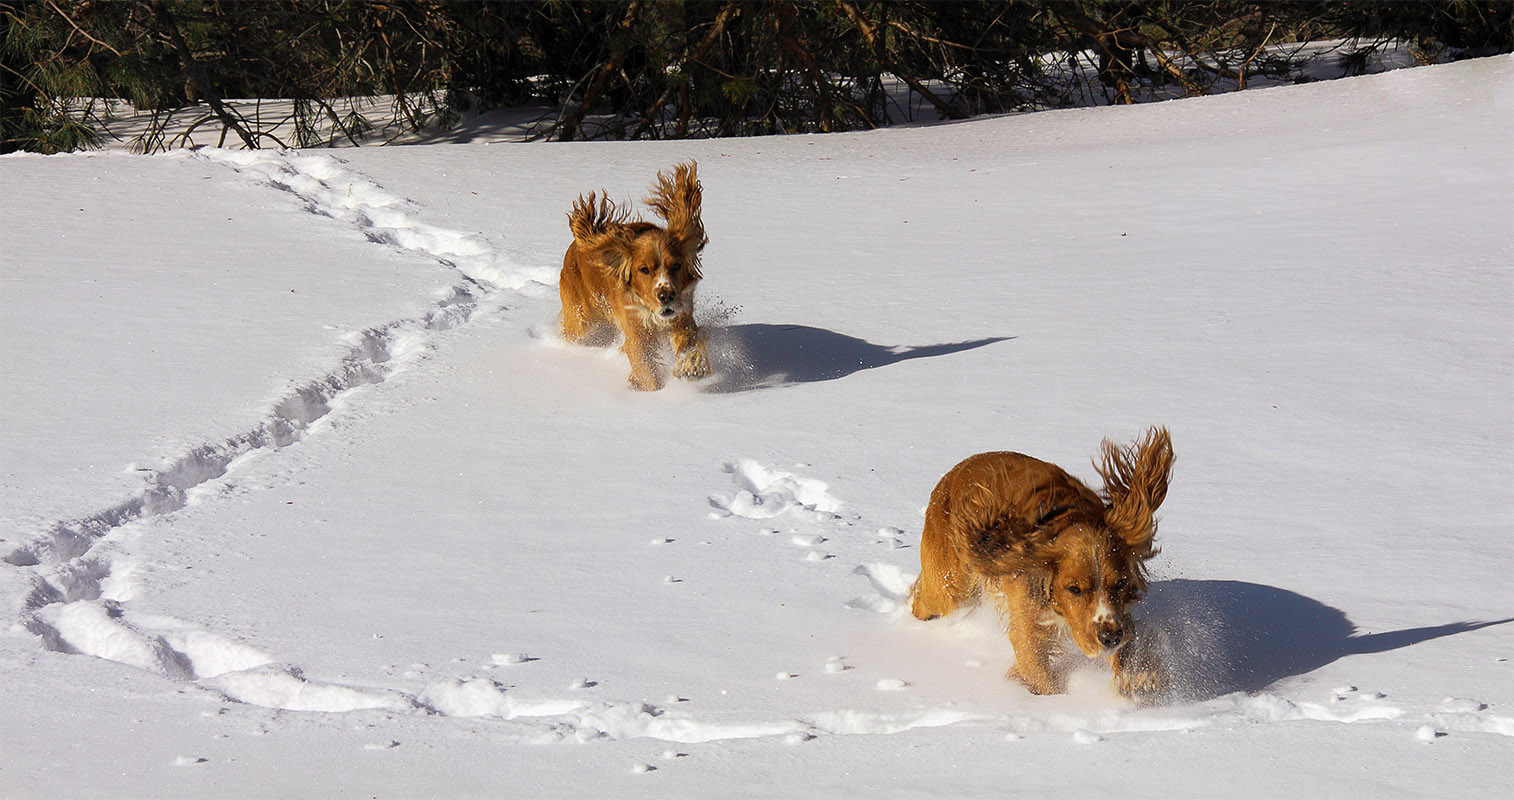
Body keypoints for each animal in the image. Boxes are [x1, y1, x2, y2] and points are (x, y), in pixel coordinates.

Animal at [560, 159, 711, 390]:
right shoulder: (636, 332)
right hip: (582, 321)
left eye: (676, 266)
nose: (666, 296)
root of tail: (574, 246)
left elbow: (689, 344)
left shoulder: (681, 316)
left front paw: (691, 366)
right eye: (644, 269)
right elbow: (645, 367)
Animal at [902, 424, 1174, 700]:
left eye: (1119, 584)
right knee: (924, 598)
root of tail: (950, 476)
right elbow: (1039, 672)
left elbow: (1125, 650)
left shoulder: (1119, 617)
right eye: (1074, 589)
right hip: (950, 589)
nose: (1109, 638)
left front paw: (1137, 680)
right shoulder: (1027, 623)